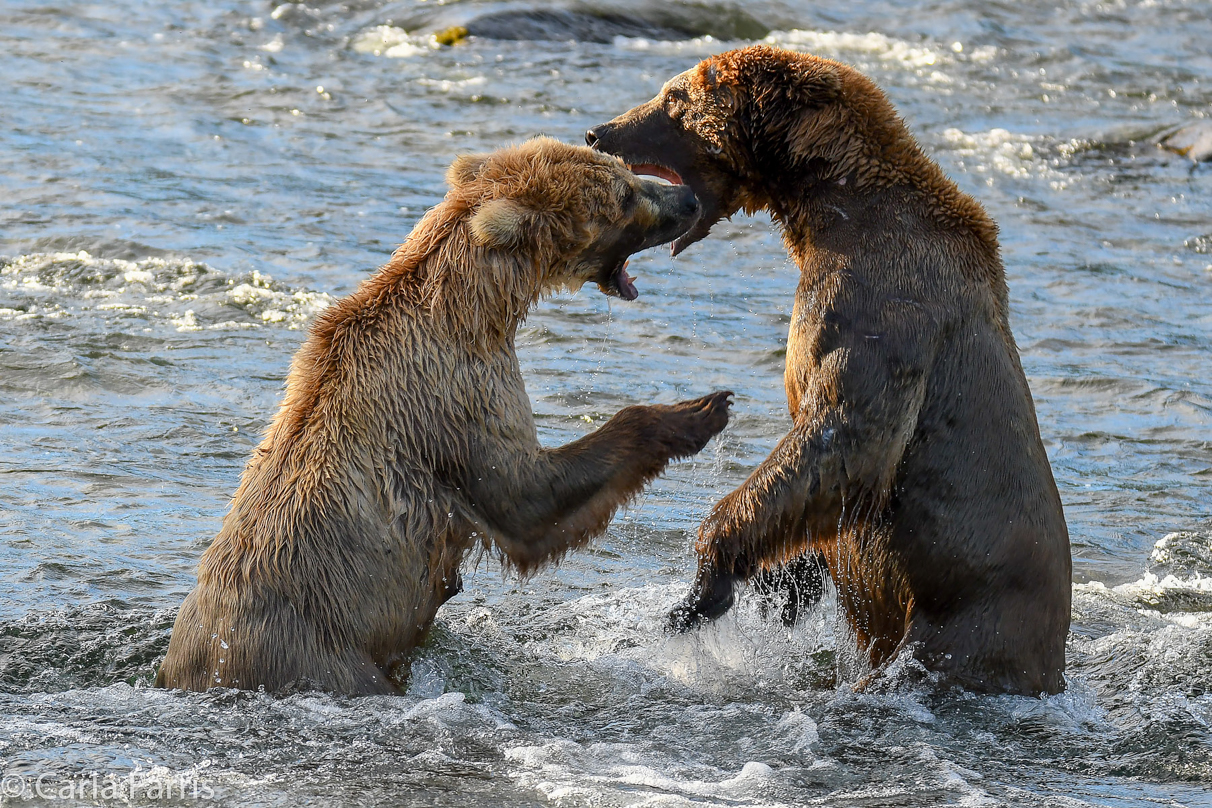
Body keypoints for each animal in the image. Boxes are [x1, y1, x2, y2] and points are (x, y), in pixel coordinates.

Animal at [157, 137, 732, 697]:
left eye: (625, 171)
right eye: (624, 195)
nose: (688, 199)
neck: (476, 309)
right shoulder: (455, 395)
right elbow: (527, 494)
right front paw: (700, 410)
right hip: (319, 654)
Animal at [586, 47, 1071, 697]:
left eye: (674, 97)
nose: (599, 131)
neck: (826, 208)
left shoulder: (877, 300)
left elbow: (845, 434)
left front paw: (704, 580)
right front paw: (779, 583)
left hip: (969, 620)